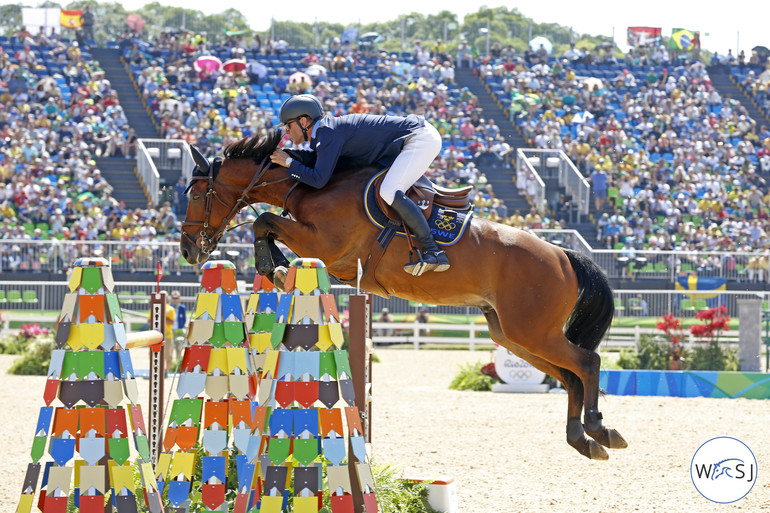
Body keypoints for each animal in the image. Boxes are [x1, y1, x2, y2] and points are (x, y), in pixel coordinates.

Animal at [180, 130, 624, 458]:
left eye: (197, 194)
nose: (188, 250)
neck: (311, 185)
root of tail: (563, 255)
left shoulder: (326, 245)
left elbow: (266, 222)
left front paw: (275, 265)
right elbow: (268, 226)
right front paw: (275, 266)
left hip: (534, 331)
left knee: (587, 362)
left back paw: (600, 429)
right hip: (514, 335)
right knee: (570, 376)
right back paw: (581, 439)